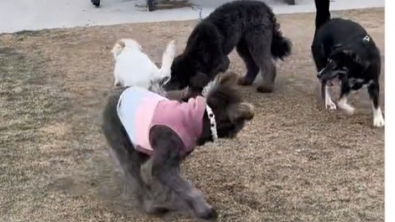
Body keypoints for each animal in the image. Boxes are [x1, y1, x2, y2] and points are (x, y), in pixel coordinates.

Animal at [102, 73, 255, 220]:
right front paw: (204, 210)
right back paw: (151, 206)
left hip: (140, 145)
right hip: (126, 146)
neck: (192, 119)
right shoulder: (164, 165)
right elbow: (188, 189)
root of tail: (112, 96)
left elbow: (177, 185)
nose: (239, 130)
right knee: (133, 176)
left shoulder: (173, 161)